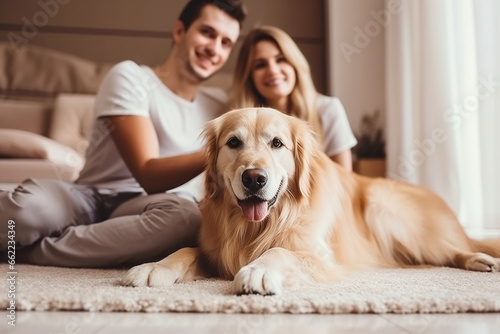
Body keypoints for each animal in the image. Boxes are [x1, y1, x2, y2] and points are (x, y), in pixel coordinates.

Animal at [124, 107, 500, 294]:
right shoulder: (217, 252)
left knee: (452, 249)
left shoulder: (320, 256)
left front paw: (259, 270)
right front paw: (154, 266)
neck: (257, 227)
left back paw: (478, 259)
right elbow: (186, 250)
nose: (254, 178)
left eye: (277, 143)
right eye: (233, 142)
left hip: (385, 207)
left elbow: (280, 250)